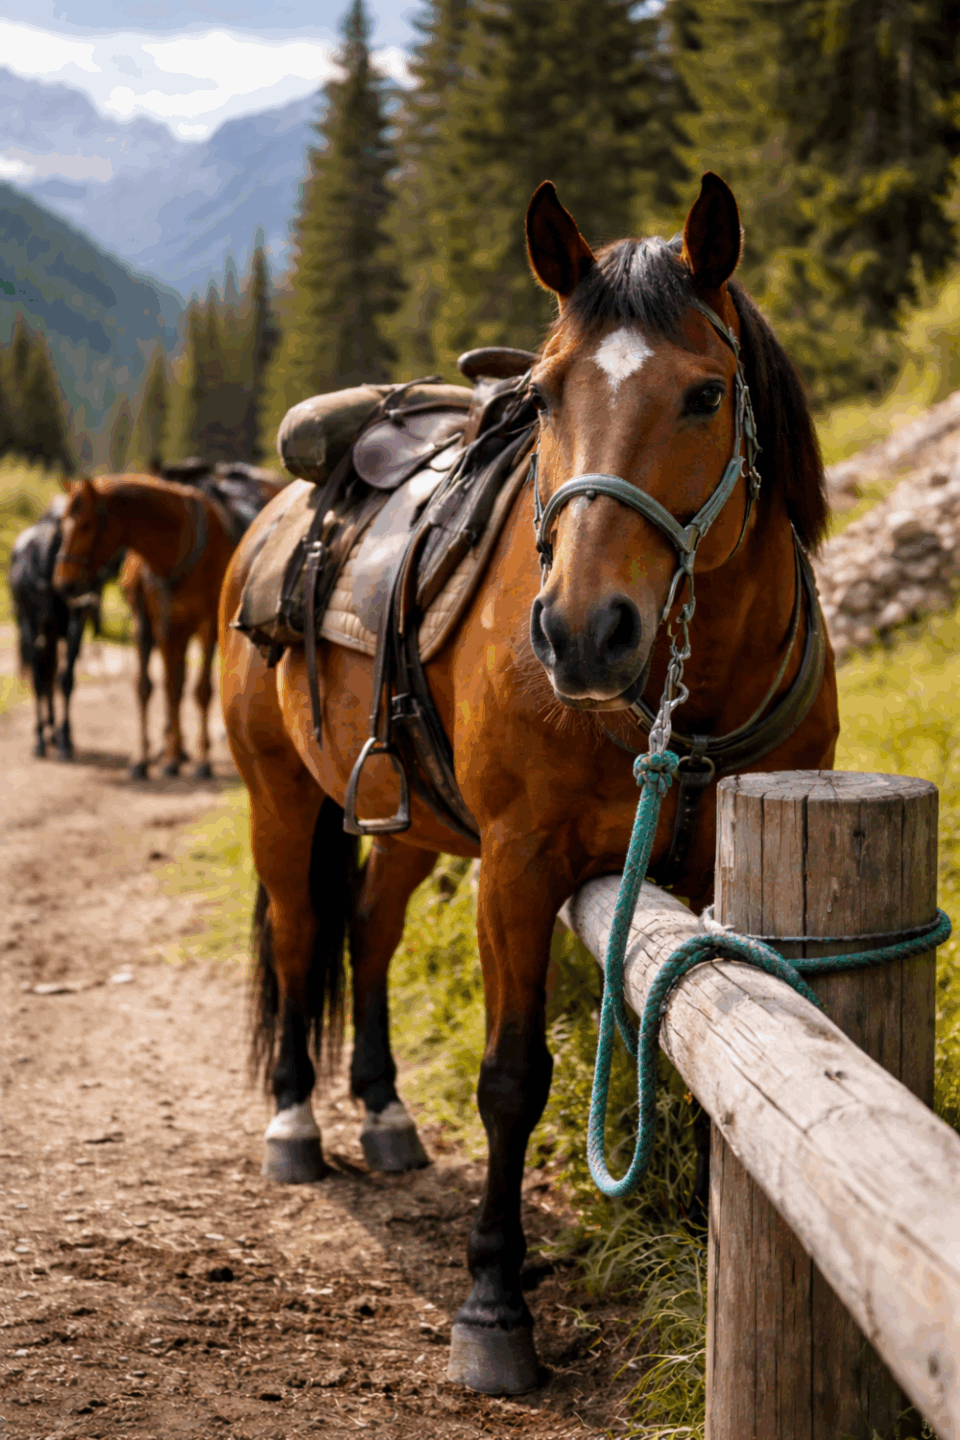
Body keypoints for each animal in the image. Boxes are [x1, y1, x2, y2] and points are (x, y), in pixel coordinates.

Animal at [8, 495, 120, 760]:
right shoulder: (52, 625)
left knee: (46, 675)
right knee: (48, 676)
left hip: (42, 631)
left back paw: (47, 733)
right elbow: (52, 678)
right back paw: (48, 735)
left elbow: (58, 677)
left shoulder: (61, 627)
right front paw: (54, 738)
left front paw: (59, 736)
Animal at [54, 471, 282, 779]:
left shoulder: (206, 625)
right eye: (62, 522)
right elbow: (157, 687)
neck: (174, 546)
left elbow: (200, 691)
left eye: (86, 525)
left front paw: (202, 760)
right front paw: (152, 757)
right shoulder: (158, 624)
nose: (63, 582)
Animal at [218, 172, 839, 1395]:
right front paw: (495, 1306)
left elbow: (701, 1071)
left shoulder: (707, 872)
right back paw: (297, 1125)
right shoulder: (519, 864)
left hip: (410, 818)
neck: (687, 701)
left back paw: (383, 1110)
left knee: (370, 928)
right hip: (281, 794)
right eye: (544, 398)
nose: (582, 632)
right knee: (306, 930)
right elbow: (512, 1078)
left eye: (706, 395)